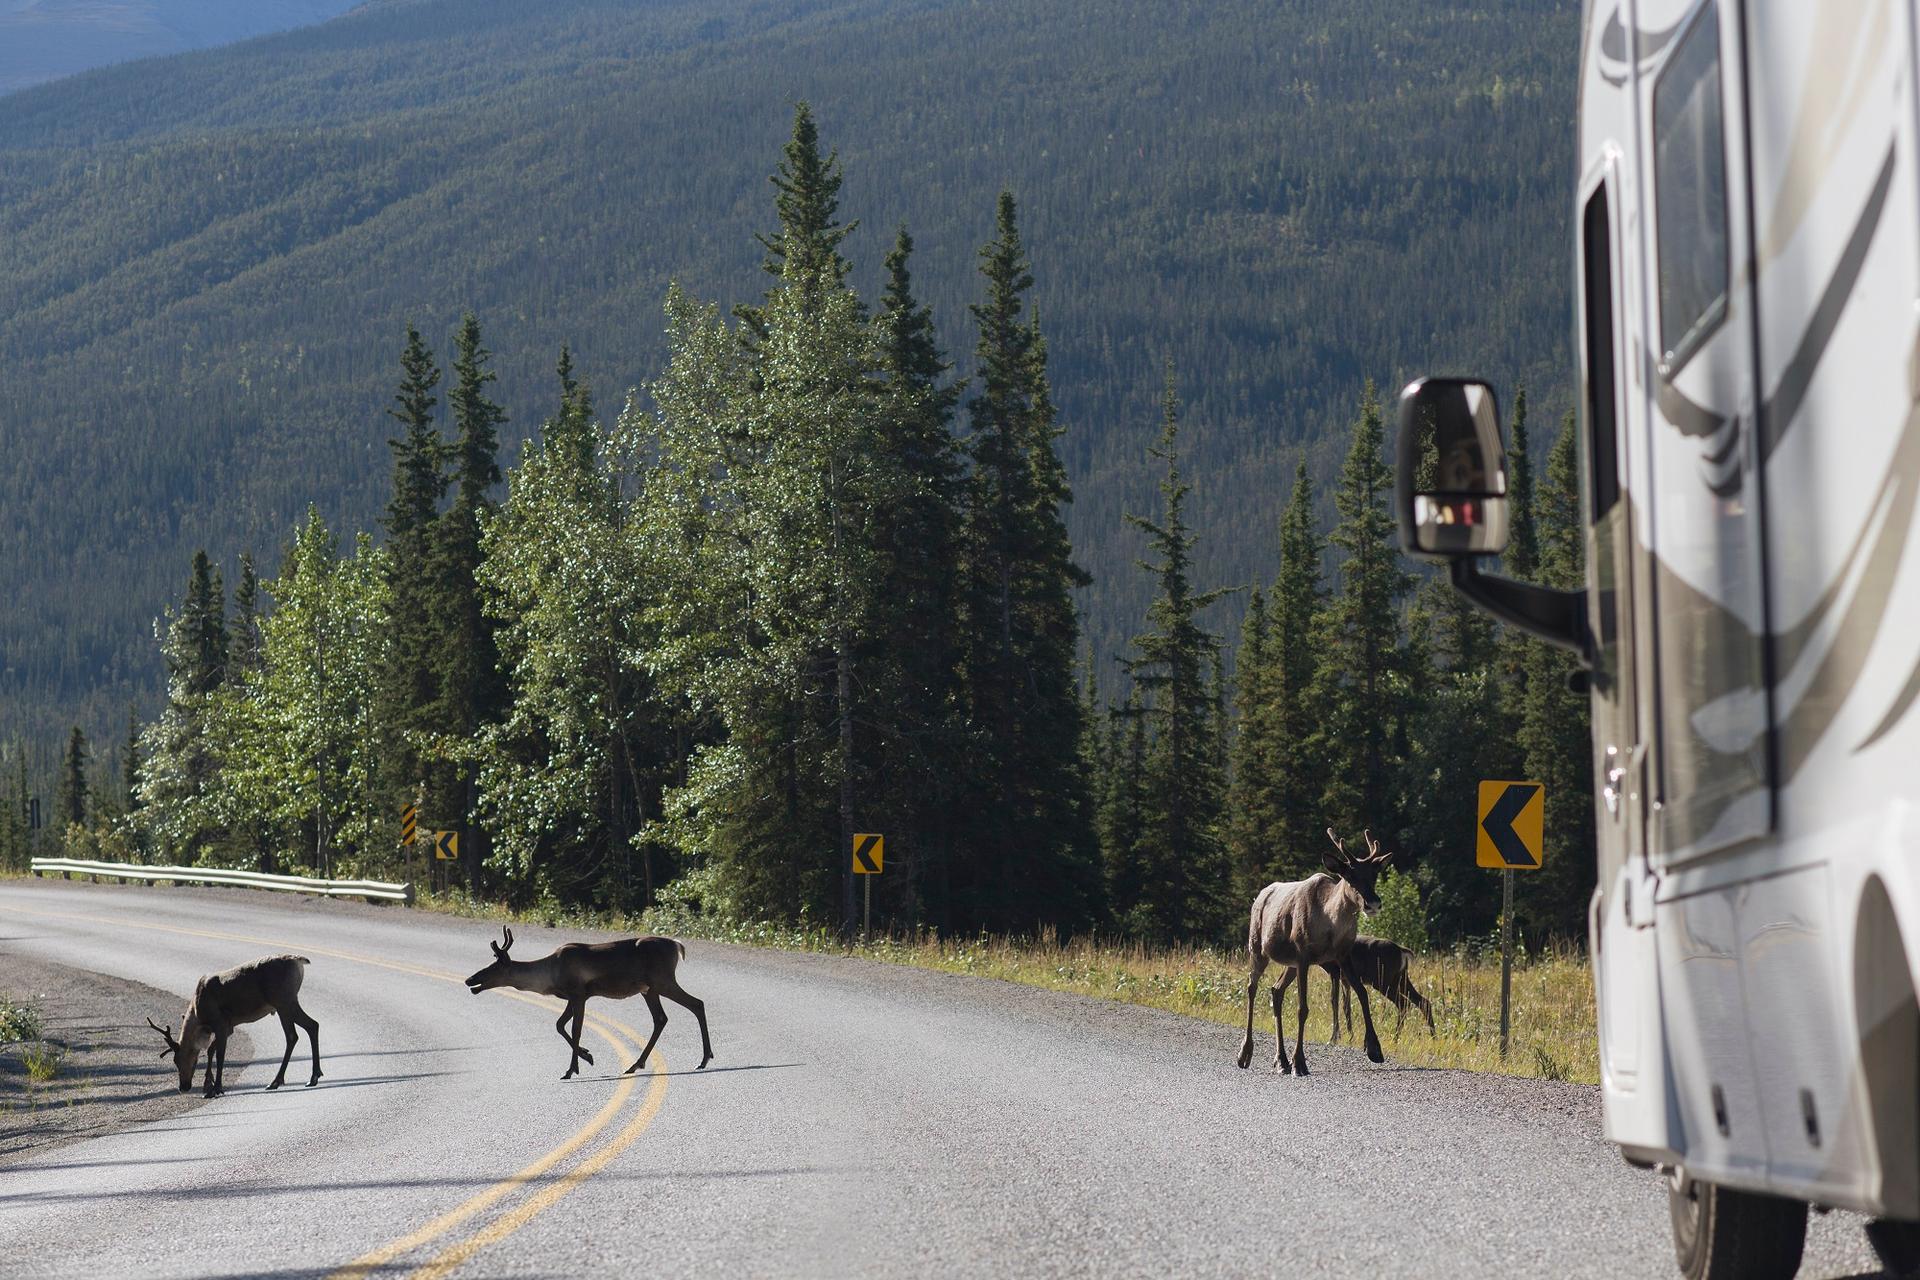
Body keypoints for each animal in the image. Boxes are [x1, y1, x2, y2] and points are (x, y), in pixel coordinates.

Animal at [145, 955, 320, 1097]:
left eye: (177, 1059)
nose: (183, 1087)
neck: (198, 1014)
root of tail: (299, 961)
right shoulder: (228, 1028)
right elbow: (210, 1050)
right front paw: (208, 1085)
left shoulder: (220, 1024)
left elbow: (219, 1055)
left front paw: (216, 1089)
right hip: (288, 1002)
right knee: (312, 1025)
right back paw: (313, 1077)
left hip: (283, 1002)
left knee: (293, 1035)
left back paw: (277, 1081)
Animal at [462, 932, 714, 1082]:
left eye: (493, 968)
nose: (469, 980)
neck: (550, 974)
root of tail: (677, 946)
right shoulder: (572, 997)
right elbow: (559, 1025)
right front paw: (586, 1056)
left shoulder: (579, 994)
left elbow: (575, 1029)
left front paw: (571, 1069)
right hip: (649, 989)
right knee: (662, 1018)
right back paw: (636, 1064)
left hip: (662, 981)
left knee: (696, 1004)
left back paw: (703, 1059)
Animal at [1236, 832, 1405, 1074]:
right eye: (1349, 876)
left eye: (1374, 875)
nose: (1373, 903)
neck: (1330, 924)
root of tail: (1259, 895)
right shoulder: (1304, 956)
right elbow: (1302, 1008)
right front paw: (1300, 1062)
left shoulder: (1343, 955)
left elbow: (1362, 994)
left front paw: (1374, 1048)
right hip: (1258, 948)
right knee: (1252, 987)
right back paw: (1246, 1054)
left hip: (1290, 964)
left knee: (1276, 991)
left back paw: (1281, 1060)